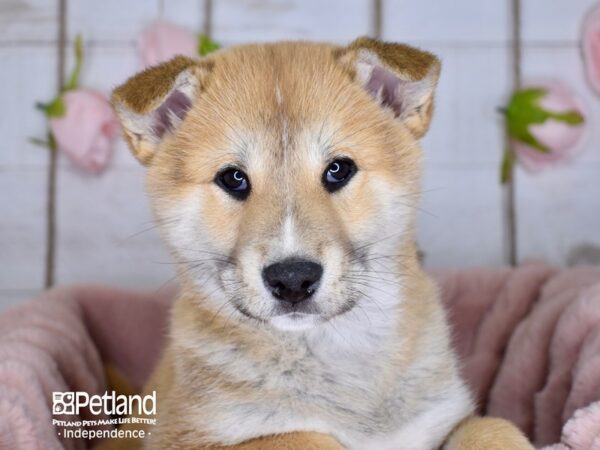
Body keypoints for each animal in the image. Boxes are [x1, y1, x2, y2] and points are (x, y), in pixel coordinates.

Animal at [109, 37, 528, 450]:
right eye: (233, 178)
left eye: (338, 169)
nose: (293, 278)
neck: (332, 349)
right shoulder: (186, 436)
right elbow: (305, 436)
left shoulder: (441, 418)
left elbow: (494, 427)